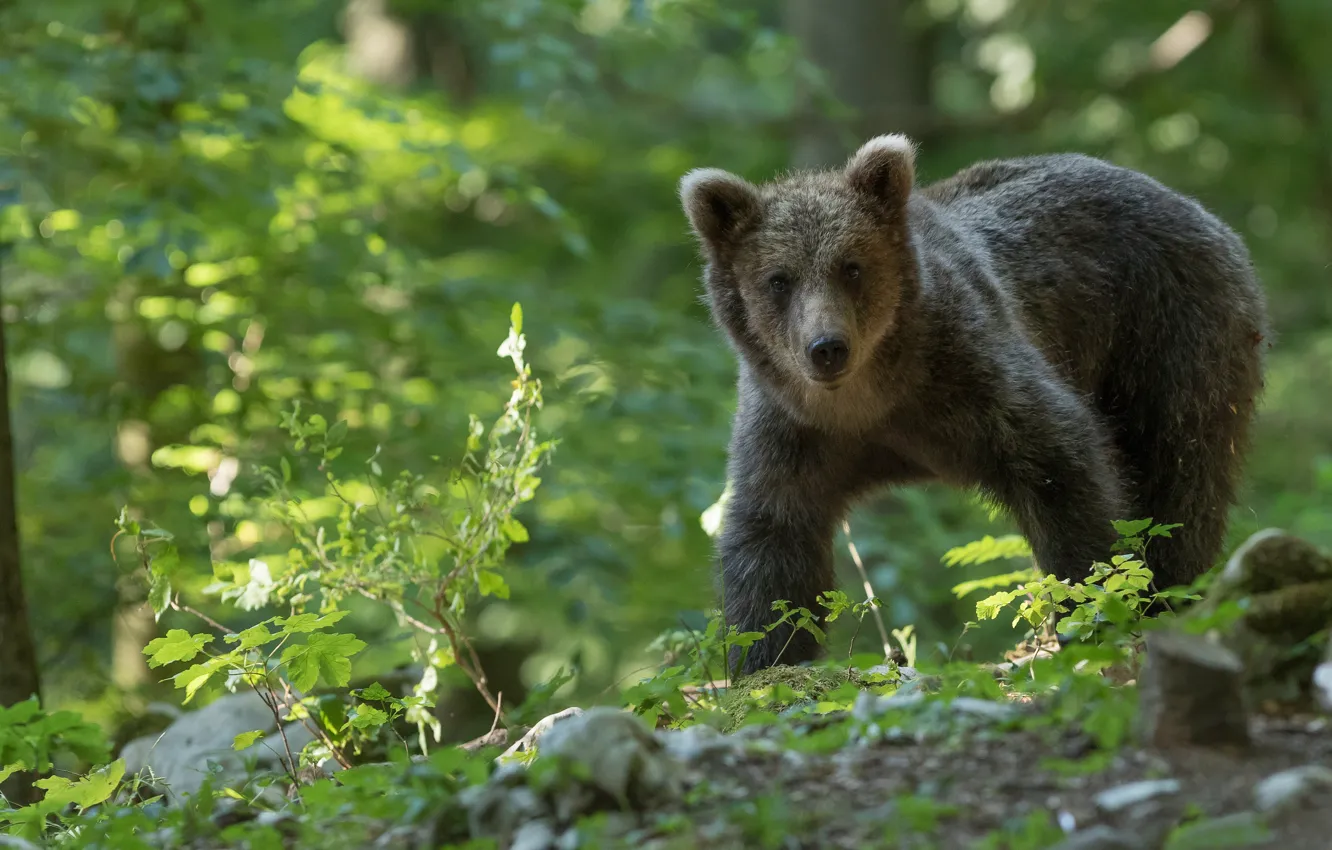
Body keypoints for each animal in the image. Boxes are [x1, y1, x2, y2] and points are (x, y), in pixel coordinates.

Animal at [681, 136, 1273, 676]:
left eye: (851, 267)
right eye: (778, 279)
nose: (826, 347)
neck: (875, 399)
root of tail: (1190, 204)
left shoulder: (974, 373)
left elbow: (1063, 467)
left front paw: (1094, 609)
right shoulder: (795, 430)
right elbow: (774, 538)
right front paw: (764, 660)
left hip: (1169, 331)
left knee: (1180, 477)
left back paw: (1174, 593)